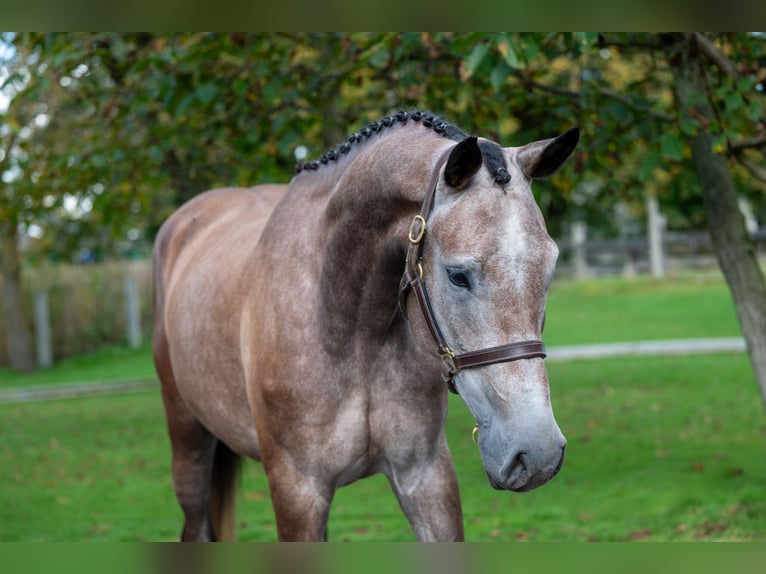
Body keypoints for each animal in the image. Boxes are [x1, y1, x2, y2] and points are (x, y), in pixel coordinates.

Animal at [153, 109, 580, 544]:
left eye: (549, 269)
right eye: (457, 275)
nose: (538, 453)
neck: (351, 333)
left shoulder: (425, 475)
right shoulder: (297, 490)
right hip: (188, 441)